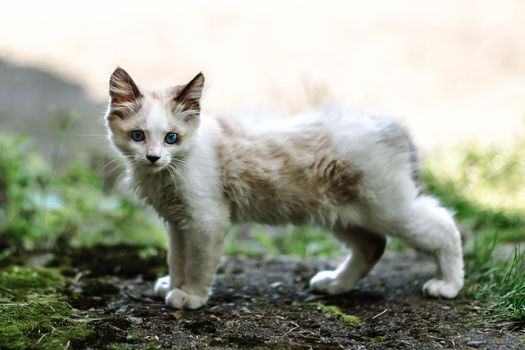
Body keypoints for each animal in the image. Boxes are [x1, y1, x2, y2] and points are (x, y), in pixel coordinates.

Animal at [103, 67, 462, 308]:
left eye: (171, 138)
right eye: (138, 136)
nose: (153, 157)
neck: (168, 173)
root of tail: (391, 126)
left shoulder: (206, 221)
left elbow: (197, 264)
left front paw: (190, 296)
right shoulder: (178, 223)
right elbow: (176, 260)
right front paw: (173, 286)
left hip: (389, 208)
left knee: (444, 227)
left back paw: (448, 285)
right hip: (342, 213)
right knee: (373, 245)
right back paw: (335, 284)